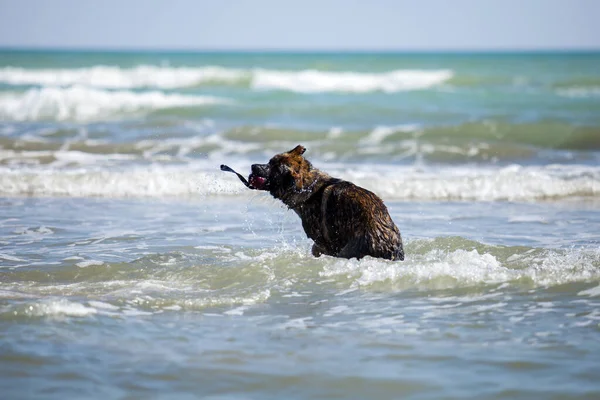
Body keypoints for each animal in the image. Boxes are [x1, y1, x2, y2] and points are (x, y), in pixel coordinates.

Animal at [244, 145, 404, 260]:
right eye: (269, 161)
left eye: (272, 167)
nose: (253, 166)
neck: (309, 187)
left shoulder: (324, 243)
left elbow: (316, 248)